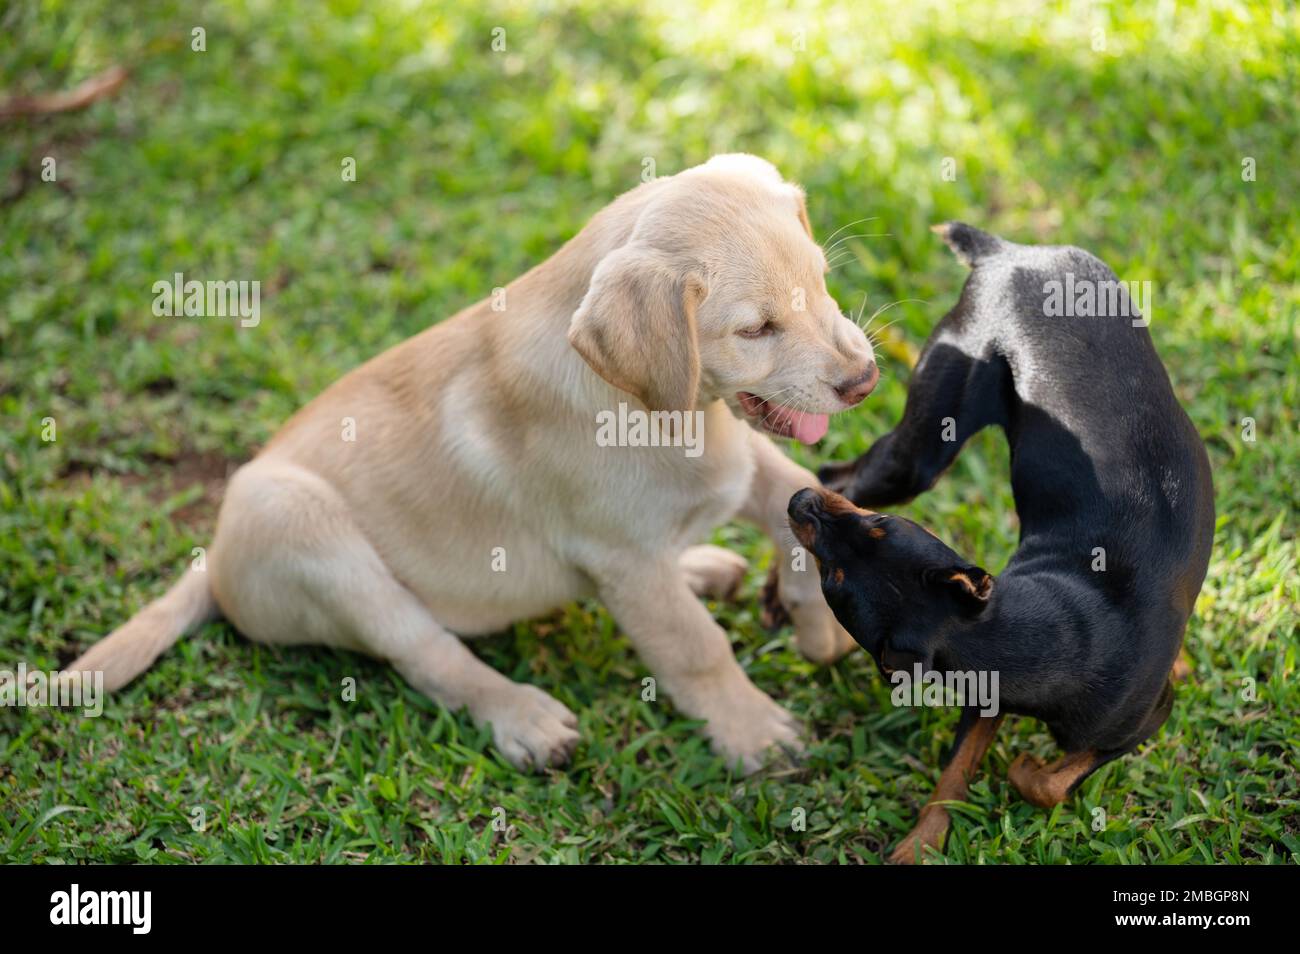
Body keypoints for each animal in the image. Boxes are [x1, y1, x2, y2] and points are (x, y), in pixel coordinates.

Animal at [73, 153, 883, 774]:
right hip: (308, 533)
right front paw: (752, 730)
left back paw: (703, 565)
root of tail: (214, 562)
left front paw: (815, 622)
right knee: (431, 656)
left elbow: (803, 498)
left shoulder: (738, 463)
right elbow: (695, 648)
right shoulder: (623, 556)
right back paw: (524, 718)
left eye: (821, 278)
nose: (866, 380)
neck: (675, 410)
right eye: (756, 329)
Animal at [795, 223, 1211, 868]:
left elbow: (1044, 784)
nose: (800, 506)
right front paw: (921, 844)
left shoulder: (1140, 718)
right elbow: (955, 778)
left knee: (836, 475)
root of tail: (1007, 252)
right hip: (922, 449)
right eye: (833, 575)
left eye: (880, 531)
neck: (1075, 633)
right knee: (839, 473)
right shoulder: (986, 695)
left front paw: (1020, 771)